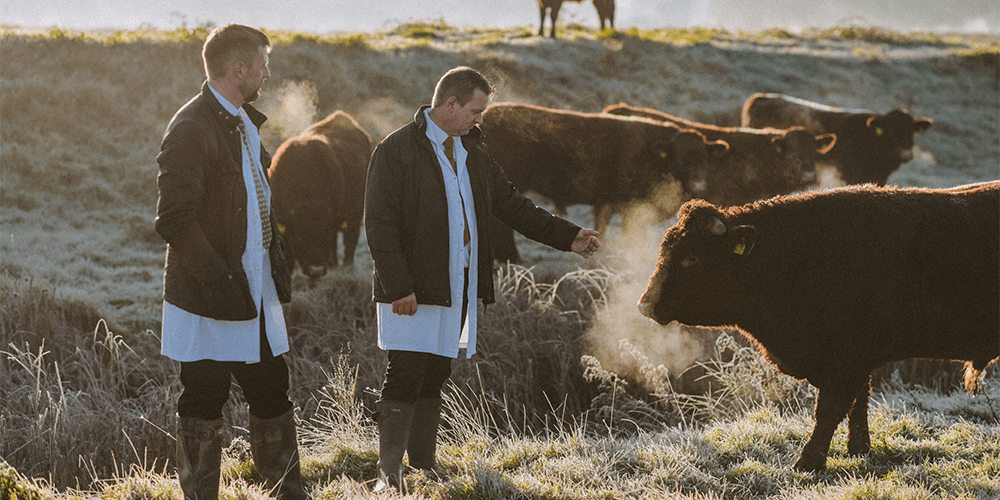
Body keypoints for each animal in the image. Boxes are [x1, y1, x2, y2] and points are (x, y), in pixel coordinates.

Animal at [482, 102, 728, 262]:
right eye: (679, 158)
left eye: (703, 158)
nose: (698, 183)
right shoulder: (631, 207)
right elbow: (631, 235)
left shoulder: (608, 202)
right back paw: (512, 259)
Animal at [640, 182, 1000, 470]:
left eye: (691, 259)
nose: (644, 304)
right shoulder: (854, 361)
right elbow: (858, 403)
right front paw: (858, 449)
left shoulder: (848, 359)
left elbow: (830, 409)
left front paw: (807, 462)